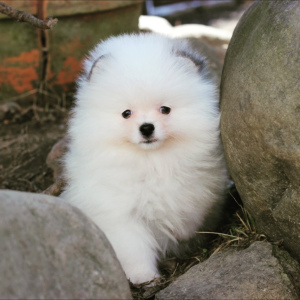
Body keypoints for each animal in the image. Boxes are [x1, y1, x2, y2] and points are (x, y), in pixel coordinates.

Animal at [62, 32, 229, 284]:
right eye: (126, 113)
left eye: (165, 109)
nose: (147, 128)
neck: (153, 162)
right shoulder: (121, 215)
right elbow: (134, 249)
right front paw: (144, 277)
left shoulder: (196, 192)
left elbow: (189, 214)